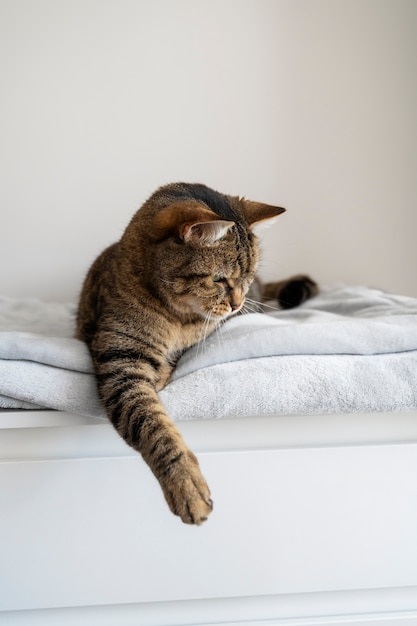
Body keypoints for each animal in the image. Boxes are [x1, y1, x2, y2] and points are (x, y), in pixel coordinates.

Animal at [75, 180, 316, 520]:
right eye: (218, 279)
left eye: (246, 276)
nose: (237, 304)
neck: (176, 316)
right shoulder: (121, 362)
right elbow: (154, 426)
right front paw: (186, 484)